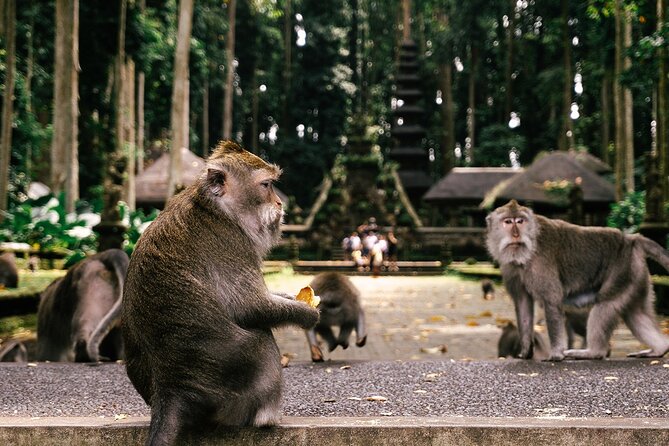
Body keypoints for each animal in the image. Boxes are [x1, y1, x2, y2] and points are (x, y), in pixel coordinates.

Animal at [121, 141, 320, 446]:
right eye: (266, 185)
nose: (279, 203)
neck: (214, 208)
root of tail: (172, 388)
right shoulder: (232, 242)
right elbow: (252, 307)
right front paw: (307, 314)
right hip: (233, 395)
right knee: (262, 338)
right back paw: (267, 418)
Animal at [486, 200, 669, 361]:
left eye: (520, 221)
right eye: (508, 222)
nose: (516, 234)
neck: (527, 251)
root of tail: (631, 240)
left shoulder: (541, 264)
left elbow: (551, 300)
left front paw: (556, 354)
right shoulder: (511, 269)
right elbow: (523, 303)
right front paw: (525, 352)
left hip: (622, 272)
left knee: (604, 305)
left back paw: (593, 352)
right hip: (635, 275)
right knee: (635, 313)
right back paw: (659, 349)